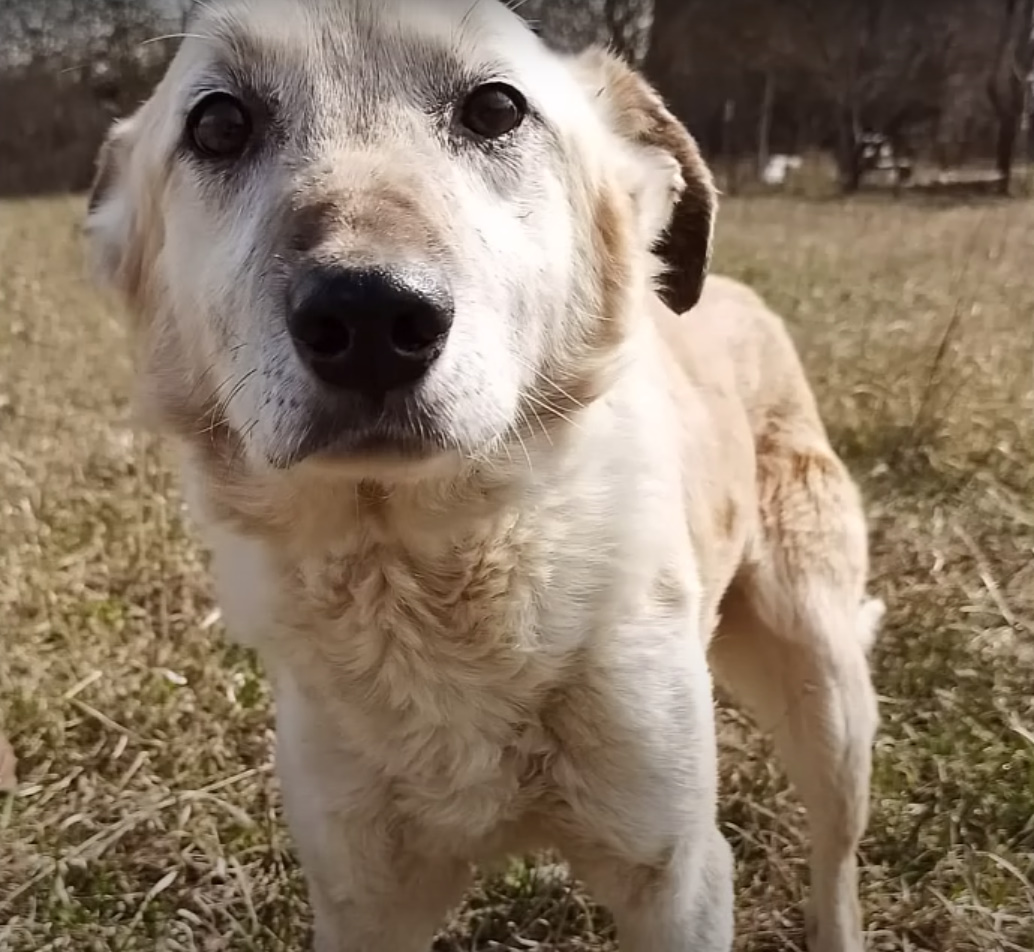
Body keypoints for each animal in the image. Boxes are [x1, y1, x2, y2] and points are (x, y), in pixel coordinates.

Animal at [84, 3, 885, 946]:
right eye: (218, 124)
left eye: (497, 108)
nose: (369, 317)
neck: (432, 576)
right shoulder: (364, 899)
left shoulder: (680, 875)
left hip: (824, 692)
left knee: (835, 858)